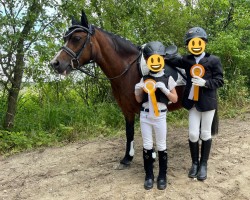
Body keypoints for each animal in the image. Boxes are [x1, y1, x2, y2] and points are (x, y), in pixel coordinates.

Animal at [49, 10, 210, 168]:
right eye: (65, 38)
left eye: (76, 38)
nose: (55, 63)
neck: (128, 70)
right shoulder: (126, 109)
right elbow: (129, 132)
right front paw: (127, 158)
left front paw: (151, 156)